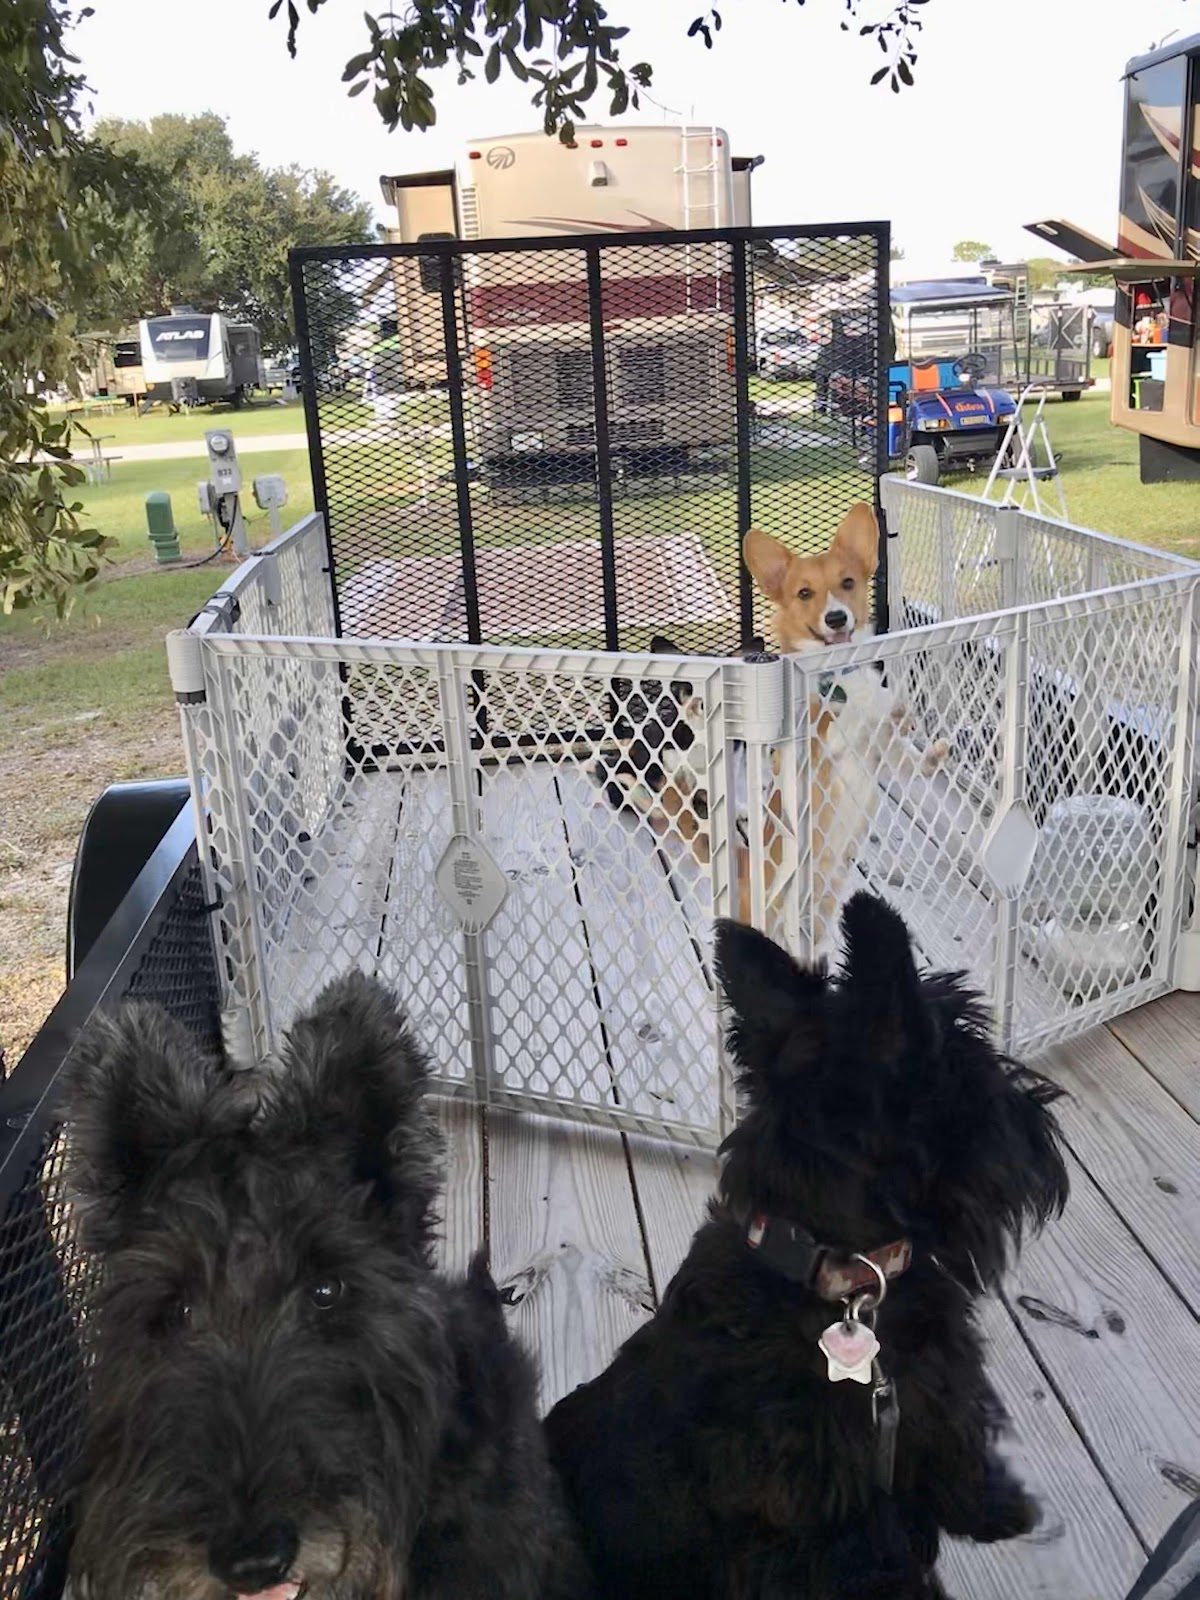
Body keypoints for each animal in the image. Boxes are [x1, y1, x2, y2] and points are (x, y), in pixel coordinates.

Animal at [546, 893, 1069, 1599]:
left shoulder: (932, 1402)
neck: (841, 1281)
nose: (1040, 1111)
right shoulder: (819, 1525)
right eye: (976, 1069)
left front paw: (994, 1508)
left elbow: (955, 1447)